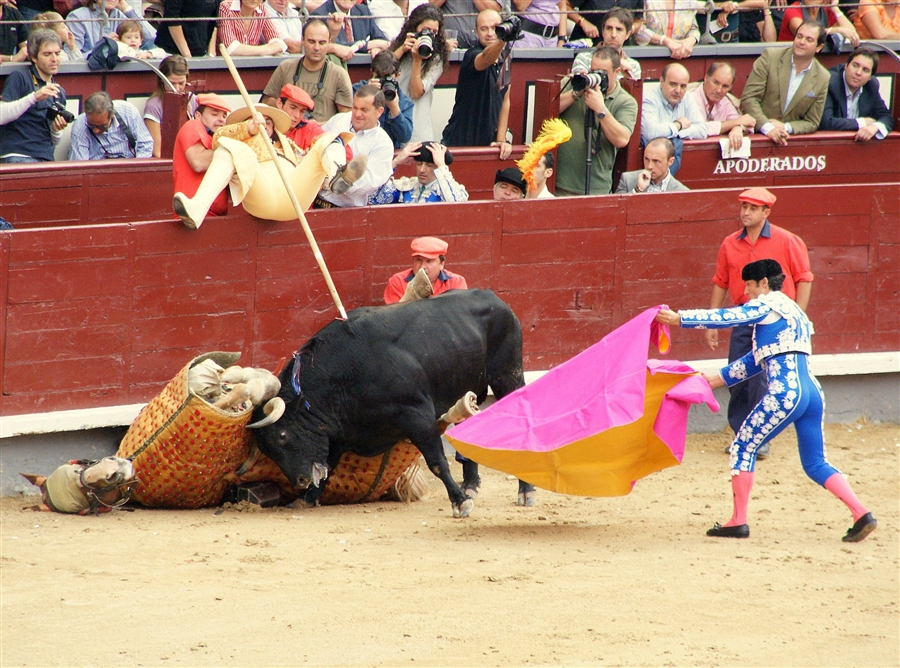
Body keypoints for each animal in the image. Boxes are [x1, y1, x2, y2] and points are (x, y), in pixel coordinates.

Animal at [248, 290, 528, 516]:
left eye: (282, 436)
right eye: (266, 448)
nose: (301, 481)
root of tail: (494, 297)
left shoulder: (418, 414)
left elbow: (437, 462)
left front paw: (460, 503)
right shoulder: (338, 429)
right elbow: (329, 464)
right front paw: (307, 498)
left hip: (507, 376)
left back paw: (523, 491)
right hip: (473, 389)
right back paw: (470, 486)